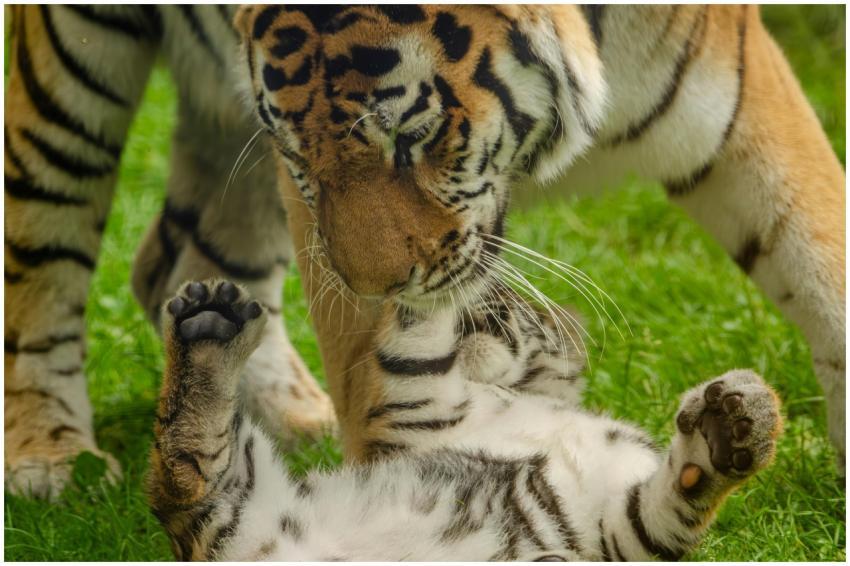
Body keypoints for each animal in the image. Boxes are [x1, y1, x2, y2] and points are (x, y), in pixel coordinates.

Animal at [4, 4, 844, 502]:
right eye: (302, 158)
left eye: (416, 136)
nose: (379, 289)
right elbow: (385, 387)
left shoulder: (728, 78)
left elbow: (818, 255)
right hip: (69, 74)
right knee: (40, 246)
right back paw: (51, 457)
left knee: (179, 270)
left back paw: (294, 415)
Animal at [148, 275, 782, 561]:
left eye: (519, 308)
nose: (487, 300)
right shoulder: (412, 405)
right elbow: (417, 338)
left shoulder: (617, 531)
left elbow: (675, 497)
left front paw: (726, 431)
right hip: (234, 509)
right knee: (183, 469)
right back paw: (208, 327)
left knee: (186, 470)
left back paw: (210, 325)